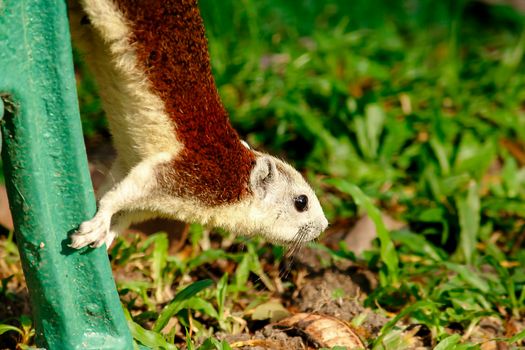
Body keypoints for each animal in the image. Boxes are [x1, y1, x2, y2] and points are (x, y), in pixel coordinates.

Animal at [67, 0, 326, 252]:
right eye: (301, 202)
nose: (323, 226)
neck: (235, 179)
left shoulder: (140, 186)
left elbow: (117, 207)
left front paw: (105, 235)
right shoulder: (183, 175)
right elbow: (115, 199)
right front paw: (97, 225)